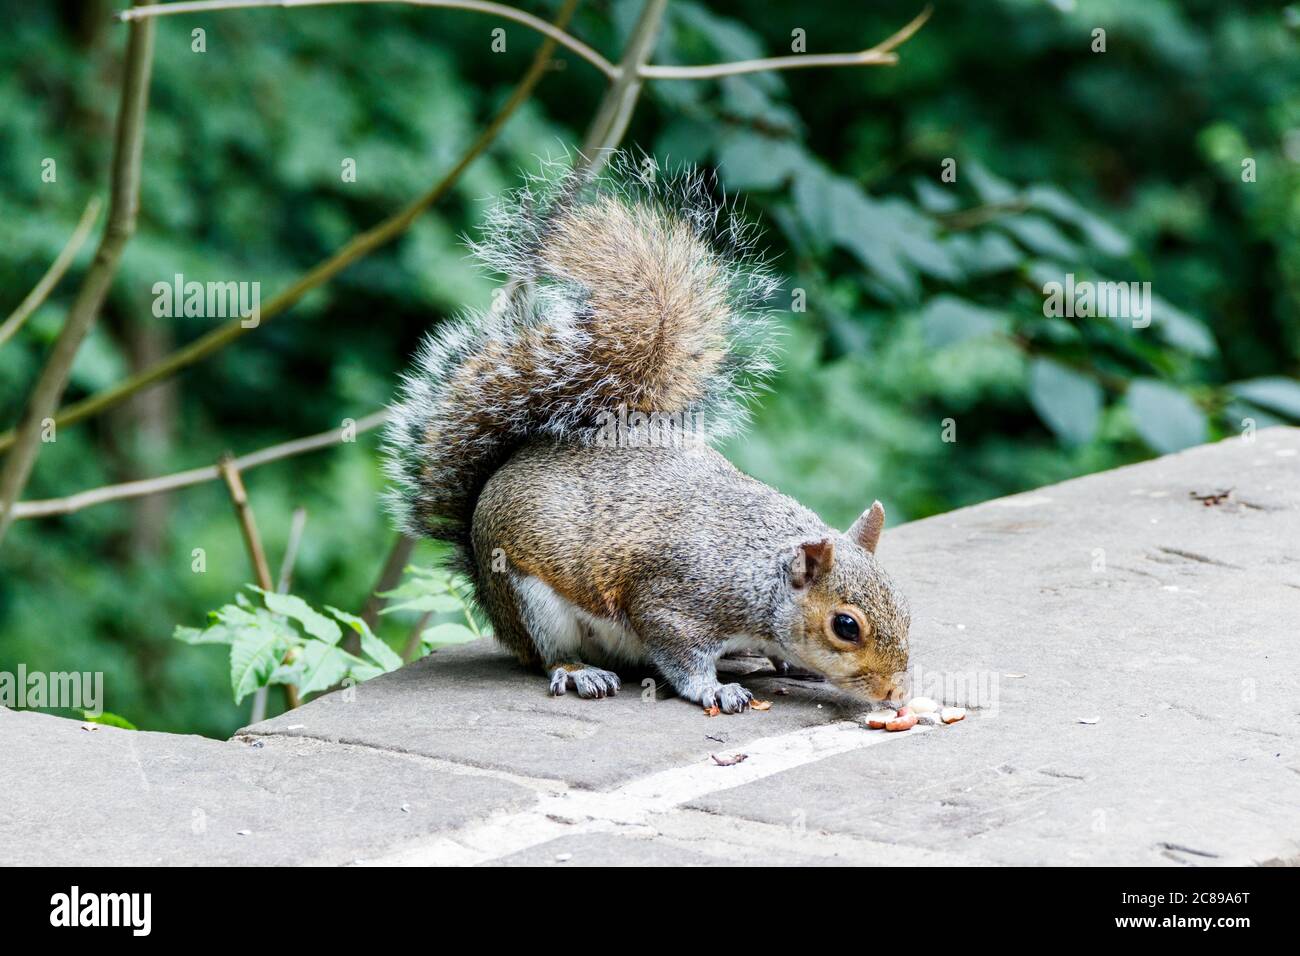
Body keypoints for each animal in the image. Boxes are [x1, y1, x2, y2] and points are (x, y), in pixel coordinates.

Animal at [382, 155, 915, 712]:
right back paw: (580, 672)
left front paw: (788, 661)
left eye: (904, 604)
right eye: (846, 626)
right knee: (548, 655)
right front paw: (715, 689)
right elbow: (681, 656)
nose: (898, 692)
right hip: (529, 598)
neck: (758, 573)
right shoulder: (674, 601)